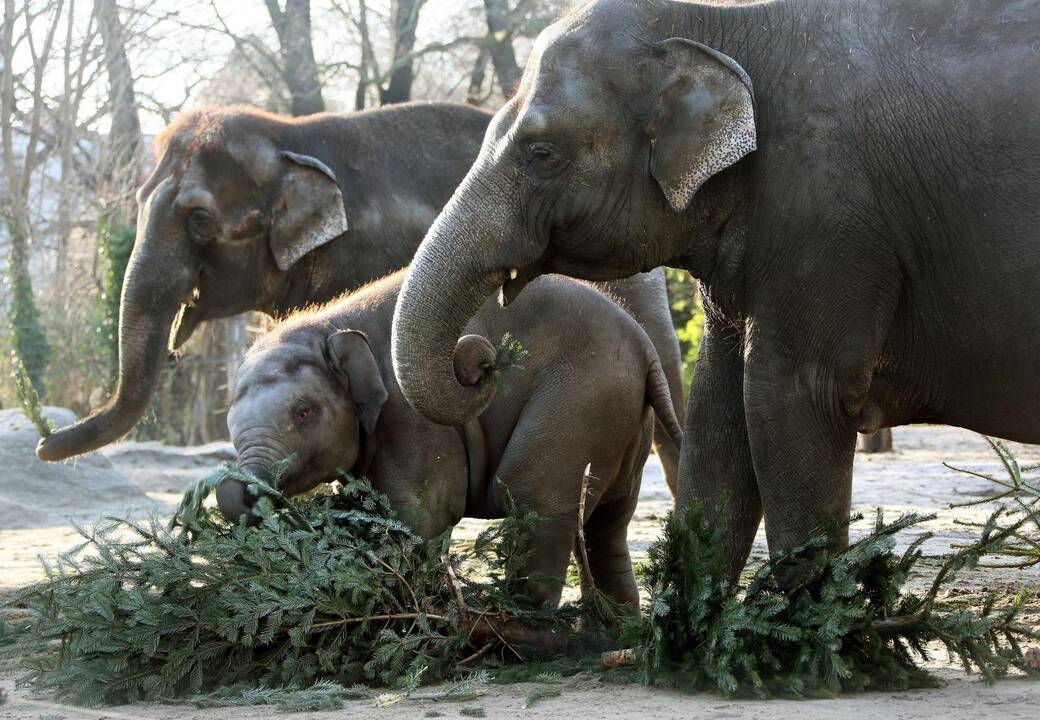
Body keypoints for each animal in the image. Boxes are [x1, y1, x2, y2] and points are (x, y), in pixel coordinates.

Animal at [217, 270, 682, 607]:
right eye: (229, 421)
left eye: (304, 413)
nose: (239, 492)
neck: (330, 324)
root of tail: (644, 345)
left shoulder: (411, 419)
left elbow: (423, 513)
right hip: (622, 421)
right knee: (608, 525)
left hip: (579, 401)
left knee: (534, 501)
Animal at [391, 0, 1040, 574]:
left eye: (541, 152)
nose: (478, 362)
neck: (722, 22)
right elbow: (719, 408)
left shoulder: (824, 217)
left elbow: (792, 397)